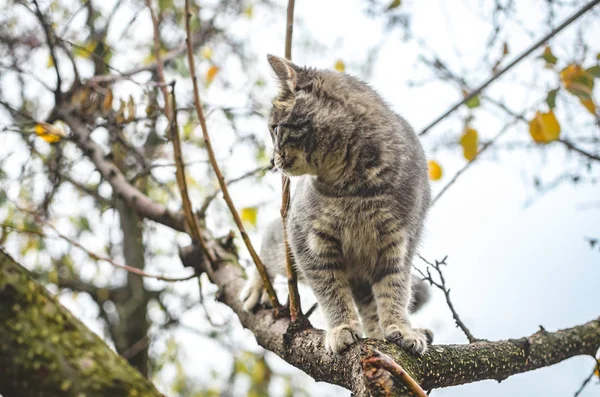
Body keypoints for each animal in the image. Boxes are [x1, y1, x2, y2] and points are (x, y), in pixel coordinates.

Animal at [241, 54, 434, 354]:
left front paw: (400, 328)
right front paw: (341, 327)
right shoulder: (307, 242)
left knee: (370, 305)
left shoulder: (400, 245)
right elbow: (331, 290)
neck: (356, 188)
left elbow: (395, 290)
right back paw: (258, 286)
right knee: (266, 249)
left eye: (274, 128)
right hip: (284, 243)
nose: (272, 161)